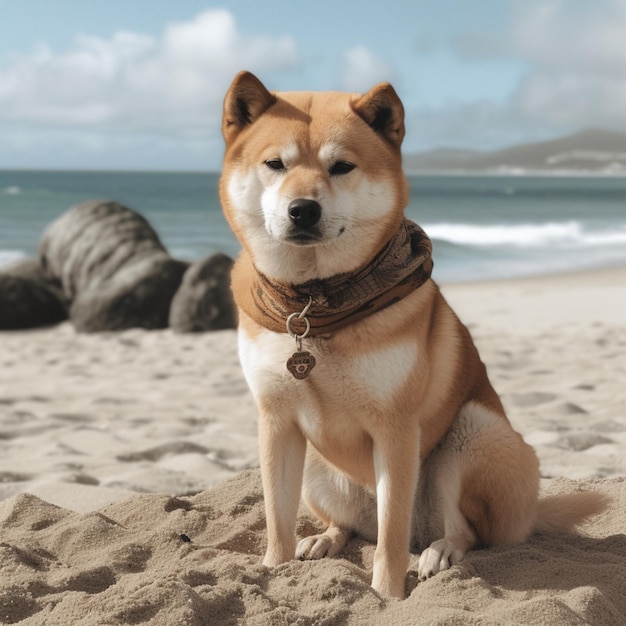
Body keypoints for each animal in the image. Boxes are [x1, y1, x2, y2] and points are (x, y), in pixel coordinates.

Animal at [217, 70, 608, 596]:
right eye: (275, 164)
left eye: (342, 167)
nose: (302, 210)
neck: (313, 306)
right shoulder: (277, 421)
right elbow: (277, 520)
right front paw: (274, 573)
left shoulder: (396, 427)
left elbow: (391, 535)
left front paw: (387, 594)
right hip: (319, 466)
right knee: (353, 525)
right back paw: (324, 539)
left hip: (472, 434)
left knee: (461, 530)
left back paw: (440, 551)